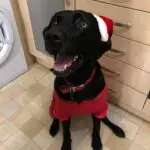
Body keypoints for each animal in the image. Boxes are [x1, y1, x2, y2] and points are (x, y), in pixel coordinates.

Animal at [42, 10, 125, 150]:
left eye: (81, 24)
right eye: (54, 22)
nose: (51, 36)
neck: (77, 83)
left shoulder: (98, 108)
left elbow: (97, 127)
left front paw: (96, 142)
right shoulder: (63, 111)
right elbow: (66, 132)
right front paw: (66, 146)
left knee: (104, 118)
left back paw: (117, 129)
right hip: (55, 103)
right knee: (54, 115)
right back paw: (53, 127)